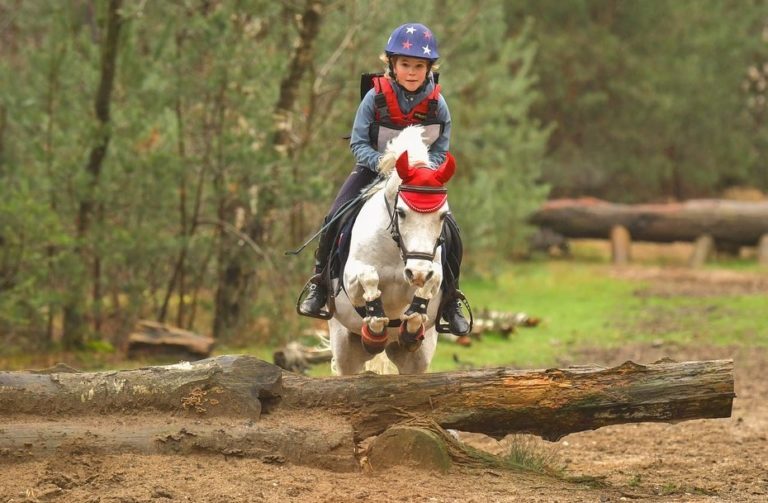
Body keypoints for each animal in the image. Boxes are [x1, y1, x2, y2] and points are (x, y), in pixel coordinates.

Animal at [330, 128, 456, 376]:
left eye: (442, 215)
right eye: (402, 212)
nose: (417, 274)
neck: (397, 248)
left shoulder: (432, 272)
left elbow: (431, 281)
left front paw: (413, 319)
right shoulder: (350, 280)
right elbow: (369, 277)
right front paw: (375, 326)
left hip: (417, 358)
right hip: (344, 347)